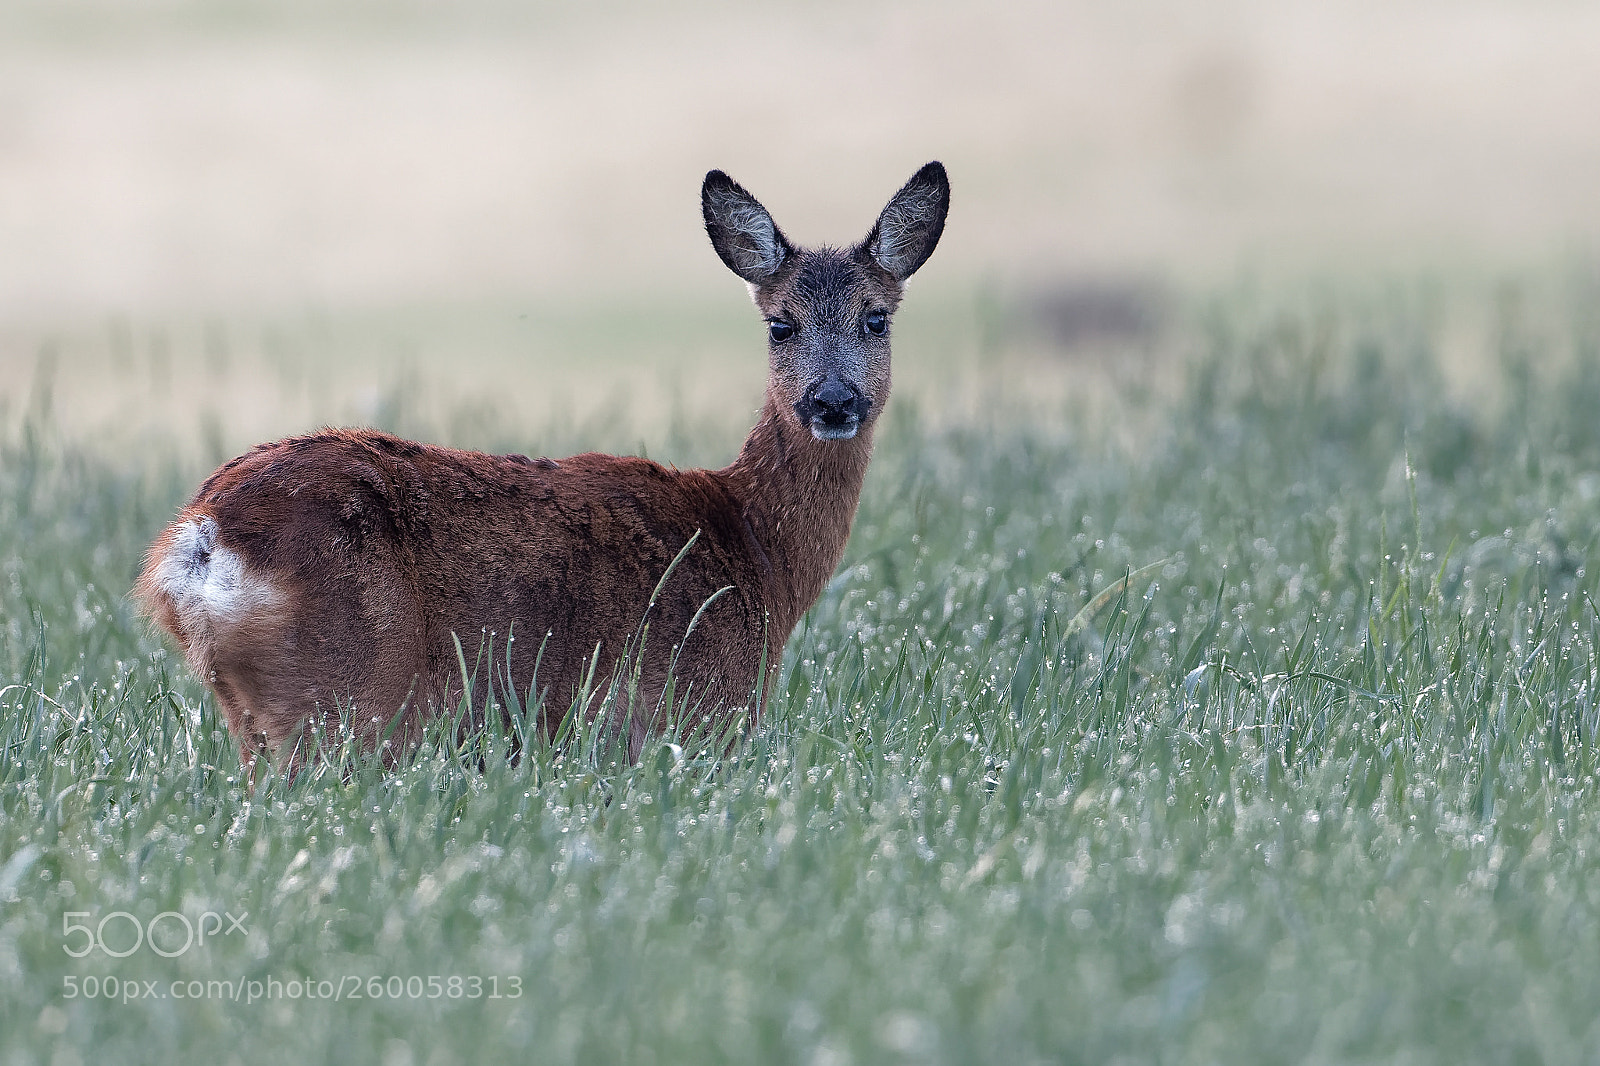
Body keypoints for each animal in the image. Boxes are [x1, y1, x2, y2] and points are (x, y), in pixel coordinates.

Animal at [135, 161, 950, 769]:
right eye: (781, 323)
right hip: (349, 694)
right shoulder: (689, 714)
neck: (755, 552)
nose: (834, 400)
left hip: (262, 712)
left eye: (875, 318)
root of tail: (201, 538)